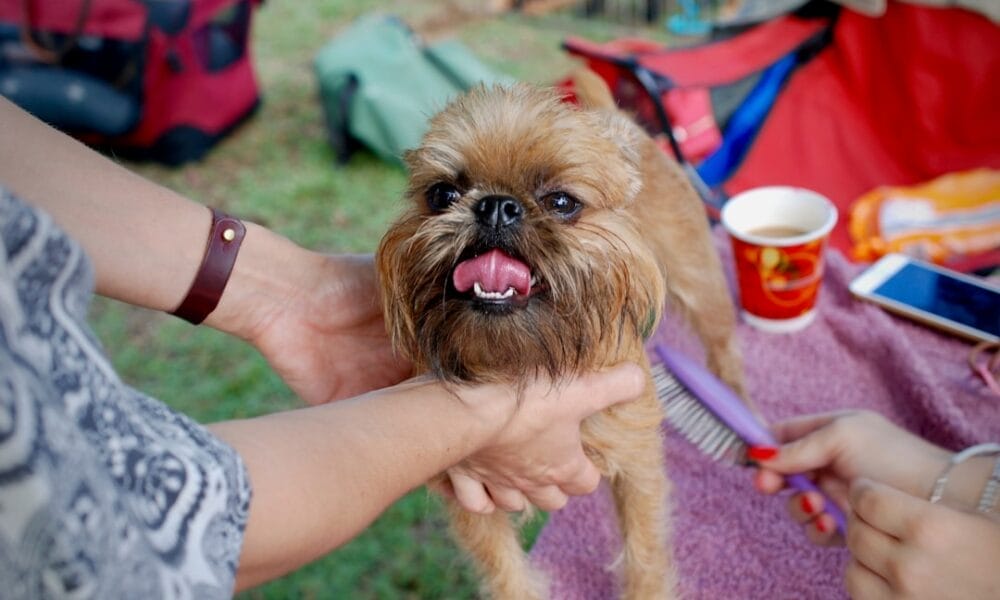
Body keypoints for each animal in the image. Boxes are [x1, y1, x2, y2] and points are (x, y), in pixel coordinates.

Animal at [378, 71, 748, 600]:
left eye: (561, 203)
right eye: (442, 195)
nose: (496, 206)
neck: (526, 365)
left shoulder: (637, 464)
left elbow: (644, 552)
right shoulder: (472, 495)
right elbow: (504, 571)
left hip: (698, 281)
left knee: (724, 349)